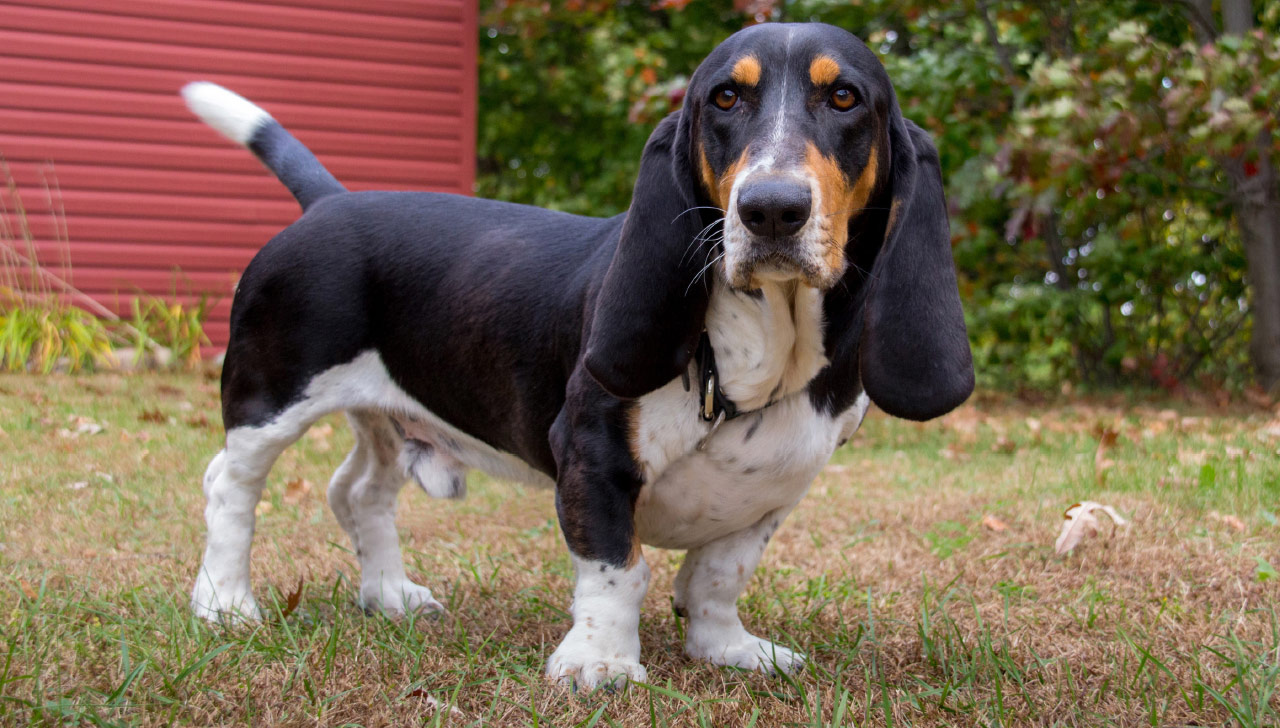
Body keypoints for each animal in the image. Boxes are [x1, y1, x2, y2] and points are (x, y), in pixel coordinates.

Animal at [183, 21, 967, 685]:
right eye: (725, 97)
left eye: (844, 97)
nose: (770, 208)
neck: (765, 347)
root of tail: (328, 202)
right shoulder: (594, 456)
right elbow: (619, 570)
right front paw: (600, 664)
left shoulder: (772, 491)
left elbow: (718, 576)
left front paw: (727, 648)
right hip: (272, 397)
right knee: (229, 487)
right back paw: (225, 603)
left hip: (388, 418)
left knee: (358, 493)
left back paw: (389, 594)